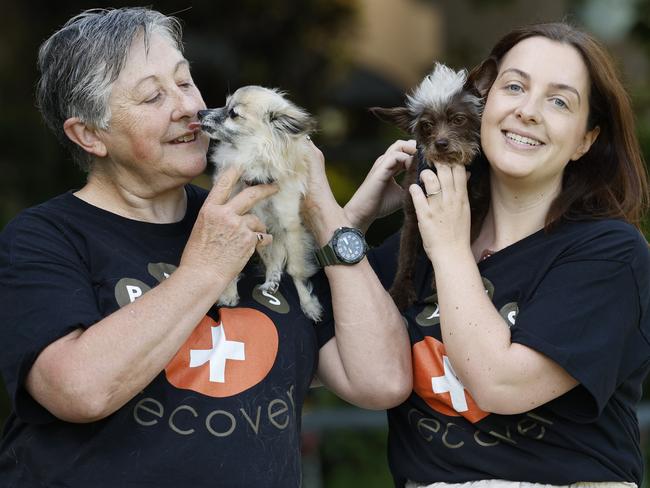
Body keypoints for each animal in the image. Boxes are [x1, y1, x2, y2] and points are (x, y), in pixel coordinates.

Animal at [195, 86, 322, 322]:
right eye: (224, 104)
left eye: (233, 113)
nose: (200, 112)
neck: (251, 157)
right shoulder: (241, 223)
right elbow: (231, 262)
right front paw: (228, 293)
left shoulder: (289, 226)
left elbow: (296, 269)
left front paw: (308, 304)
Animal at [372, 63, 484, 310]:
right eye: (426, 125)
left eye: (459, 119)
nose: (441, 143)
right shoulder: (412, 215)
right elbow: (406, 256)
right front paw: (400, 291)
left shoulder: (478, 211)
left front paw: (437, 279)